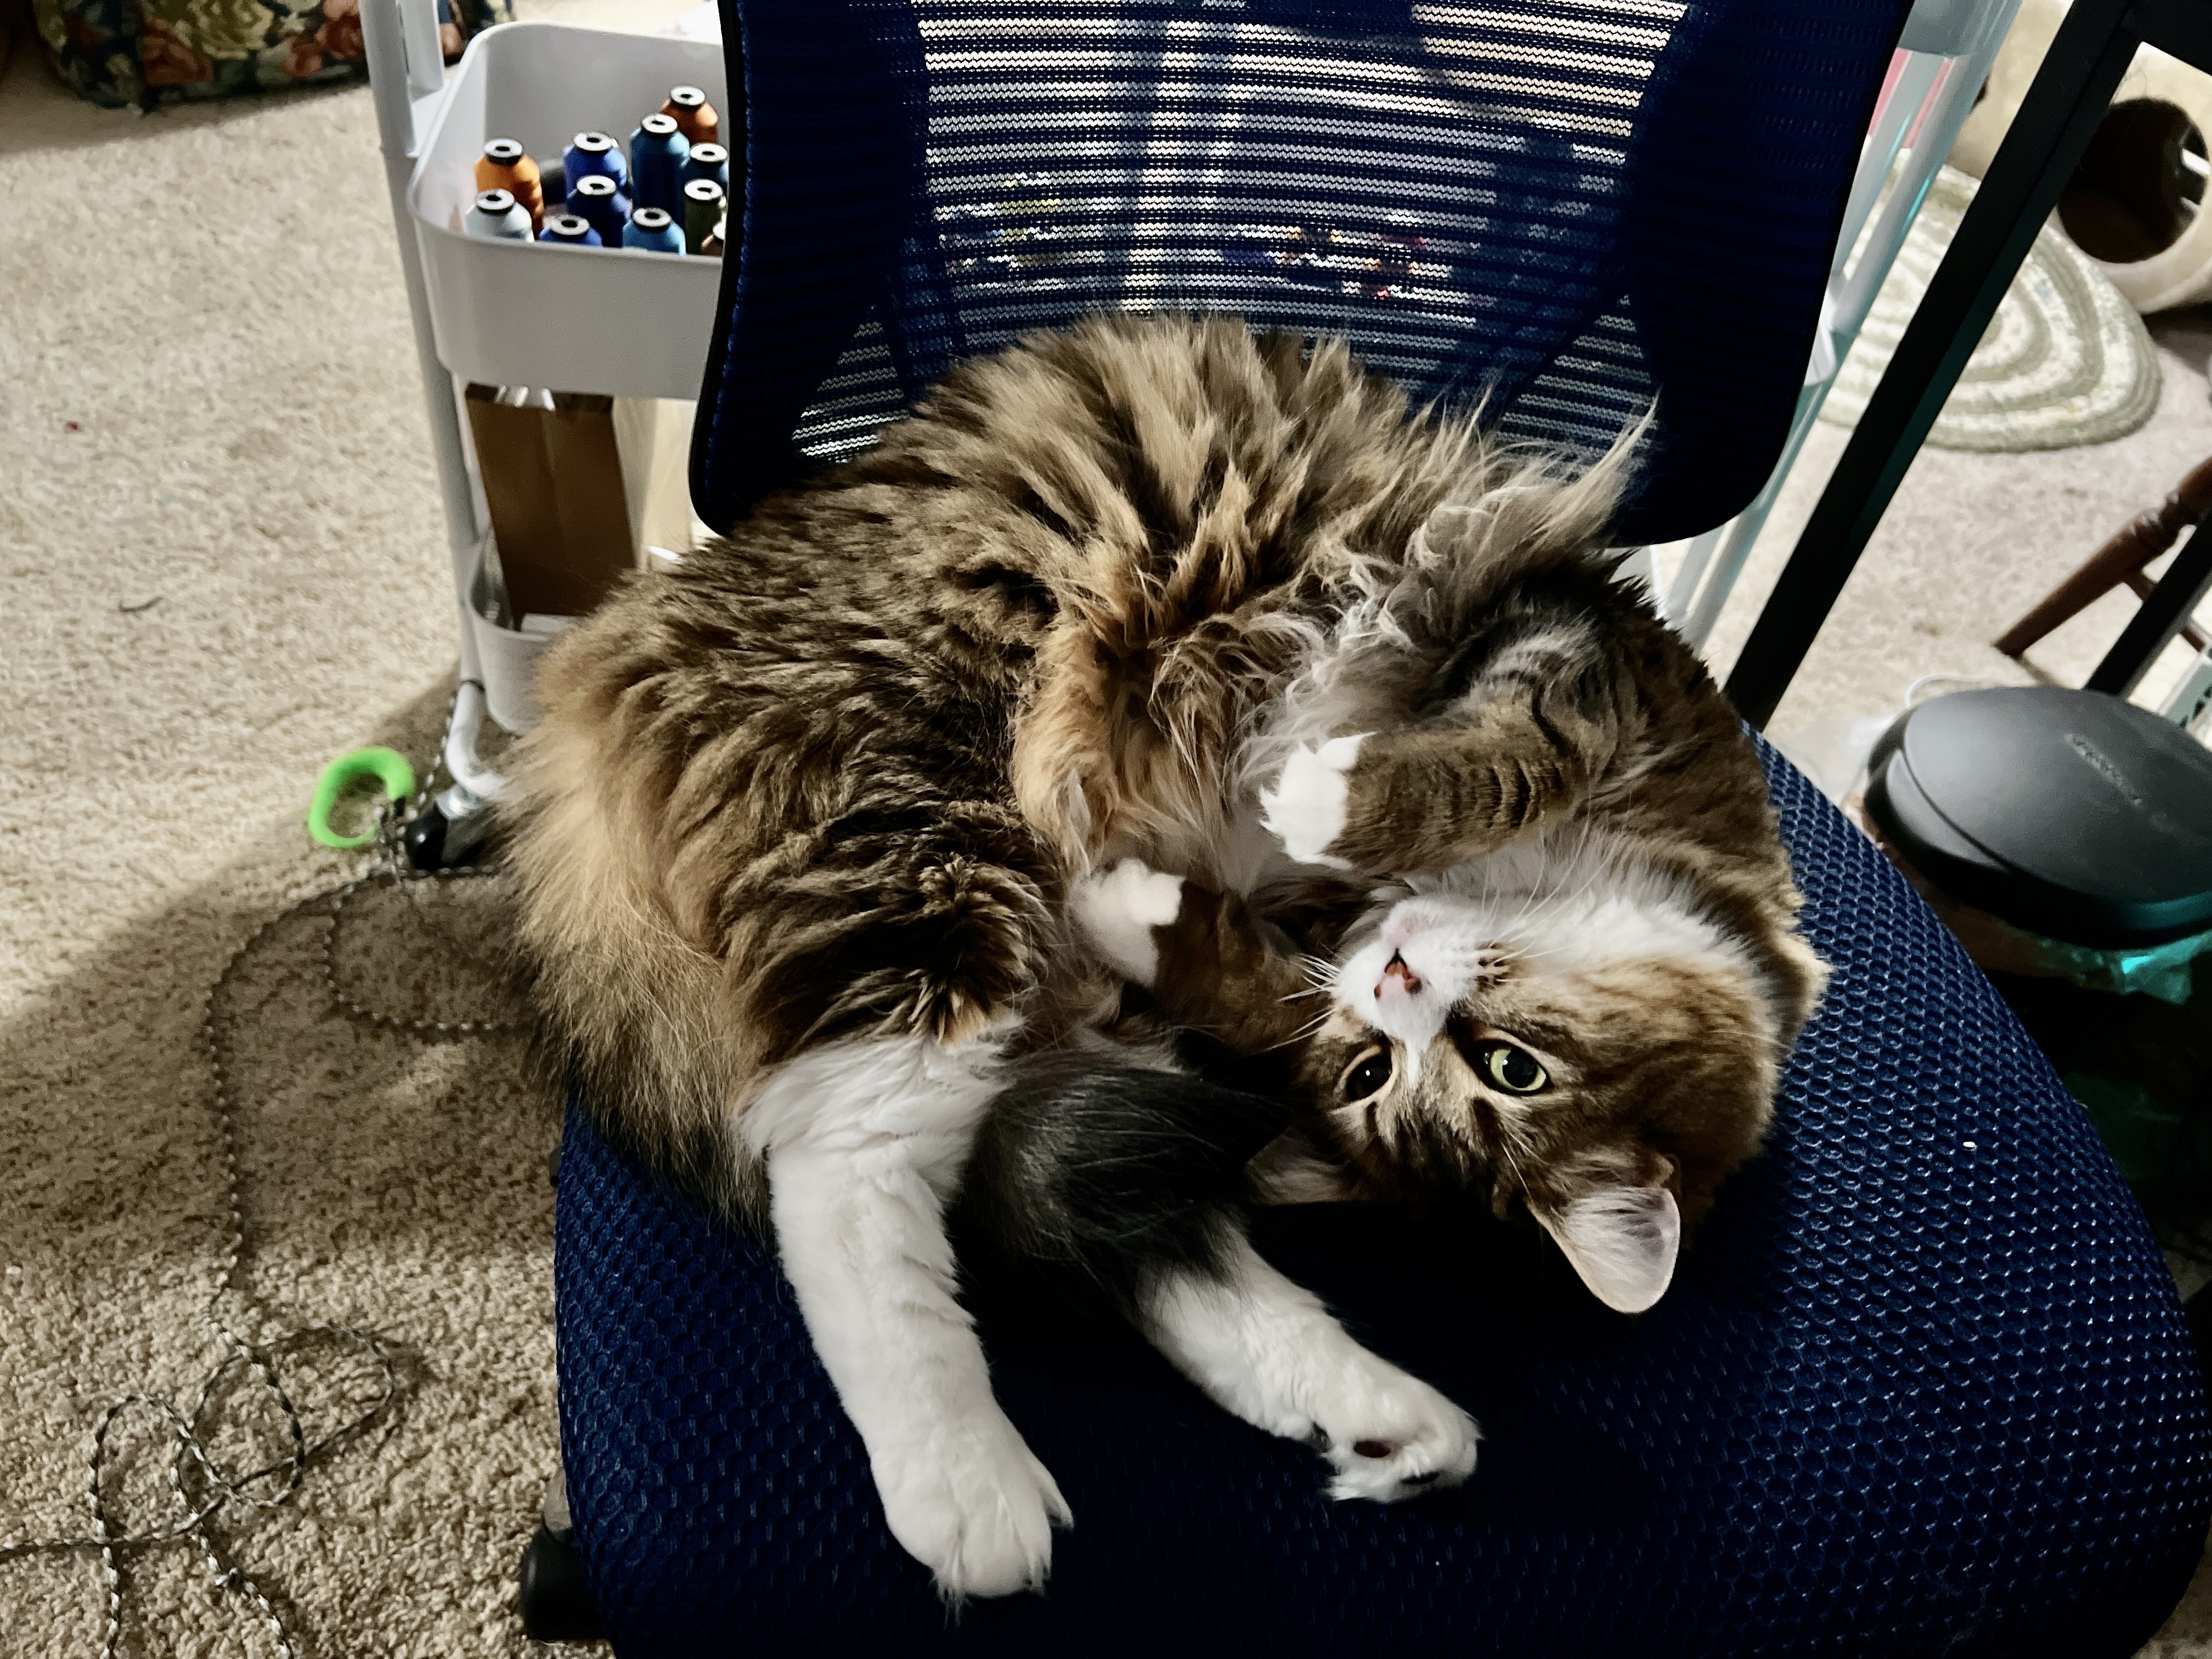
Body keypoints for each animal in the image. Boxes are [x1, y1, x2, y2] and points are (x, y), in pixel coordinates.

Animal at [509, 309, 1822, 1601]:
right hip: (925, 819)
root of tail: (591, 669)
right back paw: (972, 1492)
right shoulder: (1569, 643)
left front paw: (1193, 888)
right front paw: (1313, 796)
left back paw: (1378, 1422)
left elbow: (1259, 978)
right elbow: (1500, 761)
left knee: (1083, 1211)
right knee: (847, 1164)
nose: (1393, 985)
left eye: (1429, 1074)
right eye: (1513, 1067)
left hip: (980, 943)